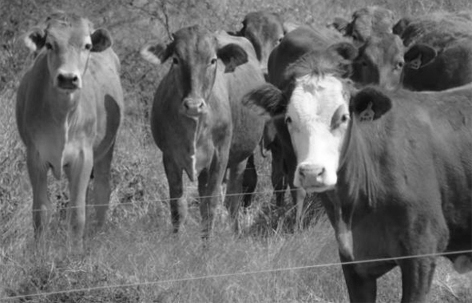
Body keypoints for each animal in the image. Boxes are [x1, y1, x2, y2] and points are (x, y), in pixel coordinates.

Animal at [16, 11, 123, 253]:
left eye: (87, 45)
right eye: (49, 44)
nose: (67, 78)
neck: (62, 117)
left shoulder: (83, 157)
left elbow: (77, 212)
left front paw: (75, 252)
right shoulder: (35, 157)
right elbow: (41, 211)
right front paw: (40, 252)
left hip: (106, 150)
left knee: (102, 191)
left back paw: (97, 236)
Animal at [139, 25, 266, 238]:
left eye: (213, 60)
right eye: (176, 59)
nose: (193, 105)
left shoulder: (220, 157)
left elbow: (211, 205)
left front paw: (207, 245)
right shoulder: (169, 158)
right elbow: (178, 208)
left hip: (240, 158)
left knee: (232, 200)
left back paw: (236, 233)